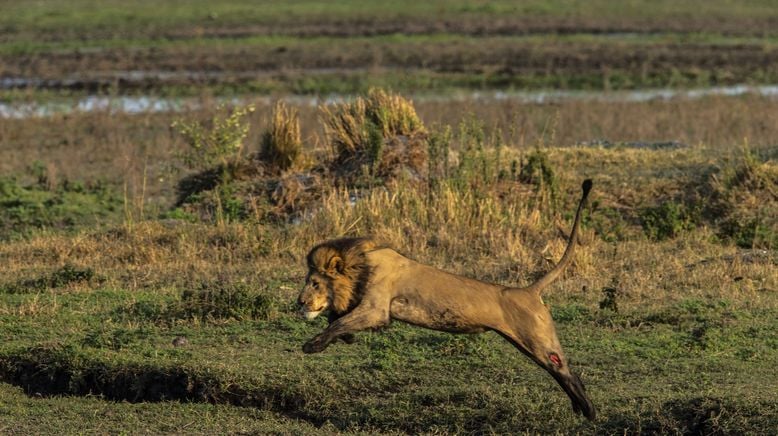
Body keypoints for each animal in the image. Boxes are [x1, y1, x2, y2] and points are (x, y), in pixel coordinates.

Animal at [298, 179, 596, 420]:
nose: (299, 303)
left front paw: (311, 345)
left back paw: (589, 411)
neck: (359, 266)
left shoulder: (376, 309)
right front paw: (343, 337)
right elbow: (337, 320)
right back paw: (579, 409)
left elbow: (339, 322)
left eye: (314, 283)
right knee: (560, 370)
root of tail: (530, 290)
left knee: (566, 371)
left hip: (537, 340)